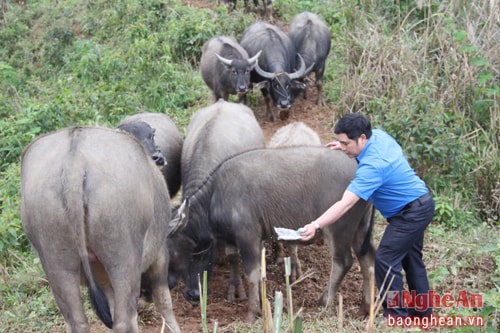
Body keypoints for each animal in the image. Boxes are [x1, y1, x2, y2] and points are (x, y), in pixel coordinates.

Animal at [22, 126, 182, 332]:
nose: (159, 156)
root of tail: (74, 164)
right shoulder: (160, 254)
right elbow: (164, 301)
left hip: (57, 263)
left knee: (76, 322)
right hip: (124, 259)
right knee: (125, 320)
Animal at [172, 146, 376, 322]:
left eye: (173, 250)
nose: (191, 295)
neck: (215, 195)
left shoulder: (248, 237)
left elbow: (252, 273)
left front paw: (252, 313)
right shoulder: (233, 239)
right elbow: (238, 261)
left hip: (339, 228)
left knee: (343, 262)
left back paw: (325, 302)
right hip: (360, 229)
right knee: (367, 260)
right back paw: (365, 308)